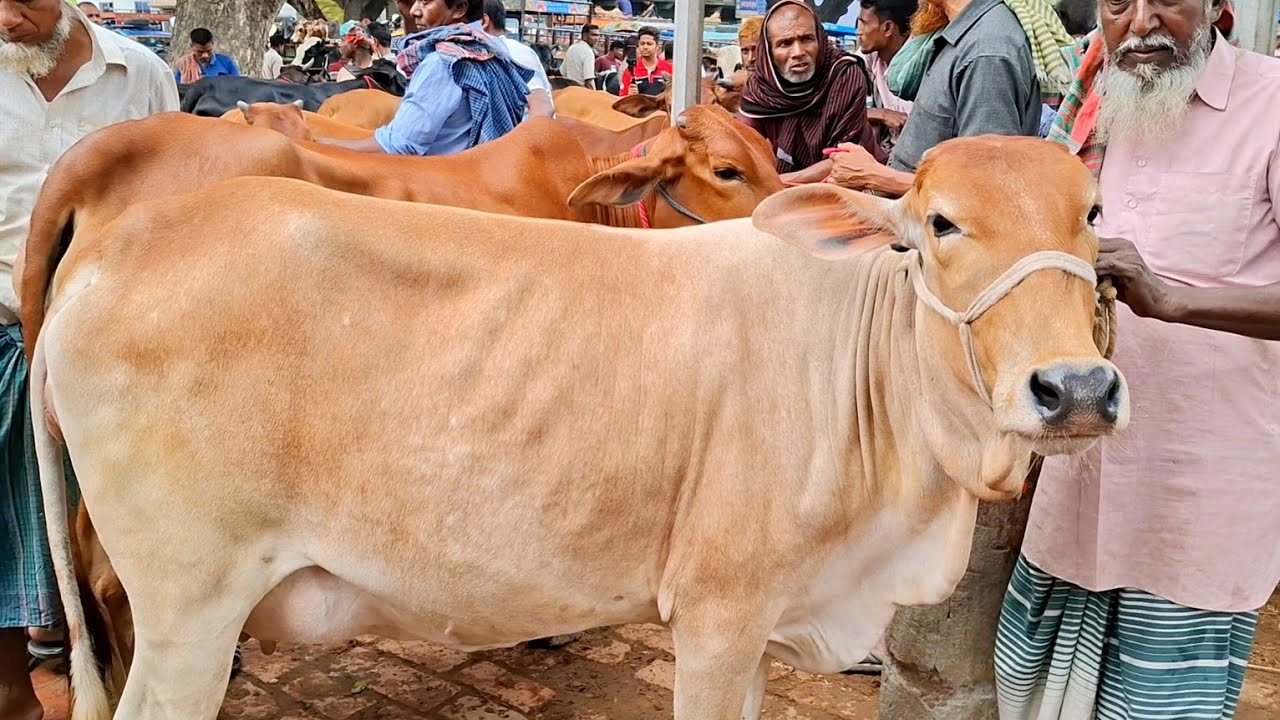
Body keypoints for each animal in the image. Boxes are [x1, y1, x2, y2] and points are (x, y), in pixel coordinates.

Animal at [31, 135, 1126, 720]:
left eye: (1090, 212)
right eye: (939, 225)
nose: (1073, 387)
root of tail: (118, 246)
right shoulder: (719, 618)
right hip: (189, 609)